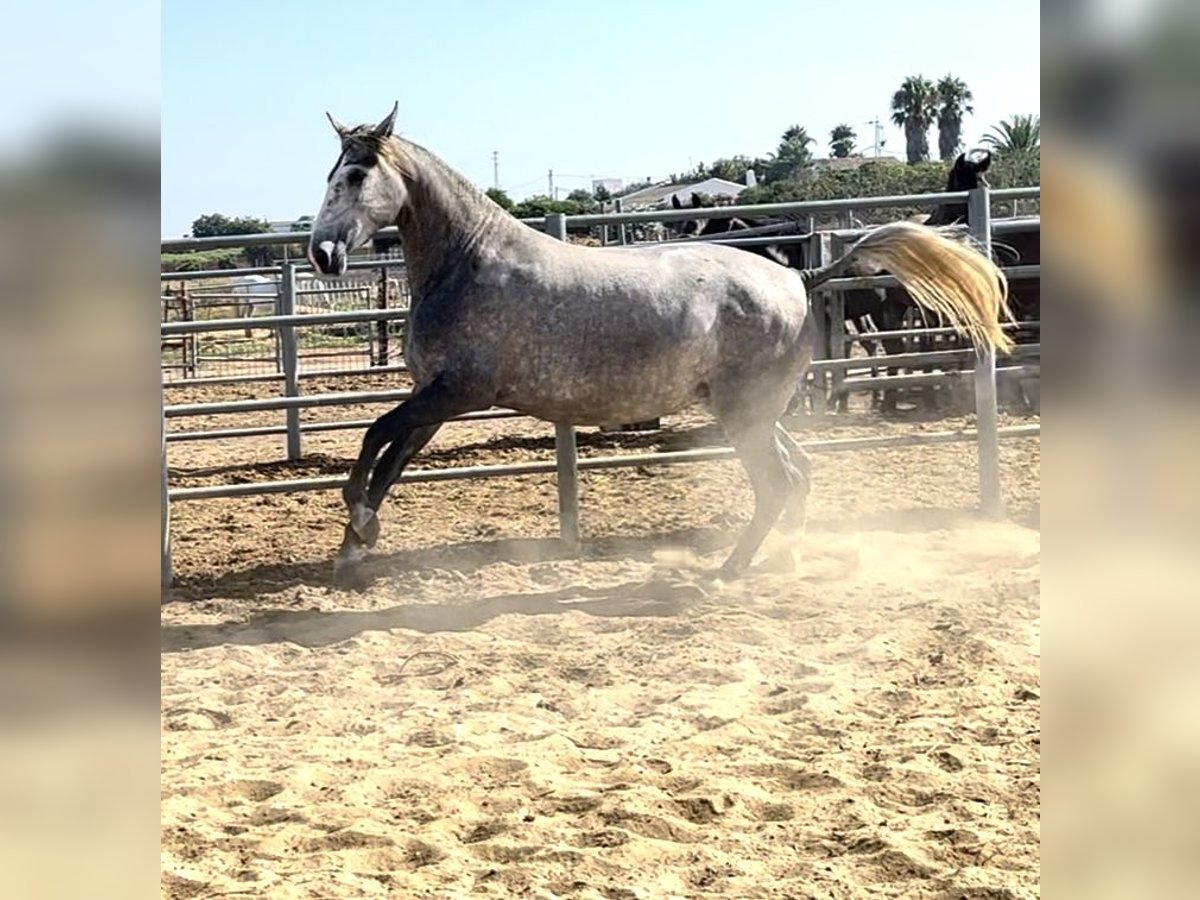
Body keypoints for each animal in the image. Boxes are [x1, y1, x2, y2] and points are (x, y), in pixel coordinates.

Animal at [302, 102, 1012, 588]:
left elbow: (374, 439)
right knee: (802, 473)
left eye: (357, 174)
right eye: (332, 172)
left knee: (778, 483)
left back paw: (729, 570)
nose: (323, 254)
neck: (471, 262)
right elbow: (389, 457)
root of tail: (799, 277)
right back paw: (784, 558)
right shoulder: (435, 398)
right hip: (755, 411)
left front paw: (358, 525)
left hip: (744, 417)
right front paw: (355, 543)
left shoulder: (458, 392)